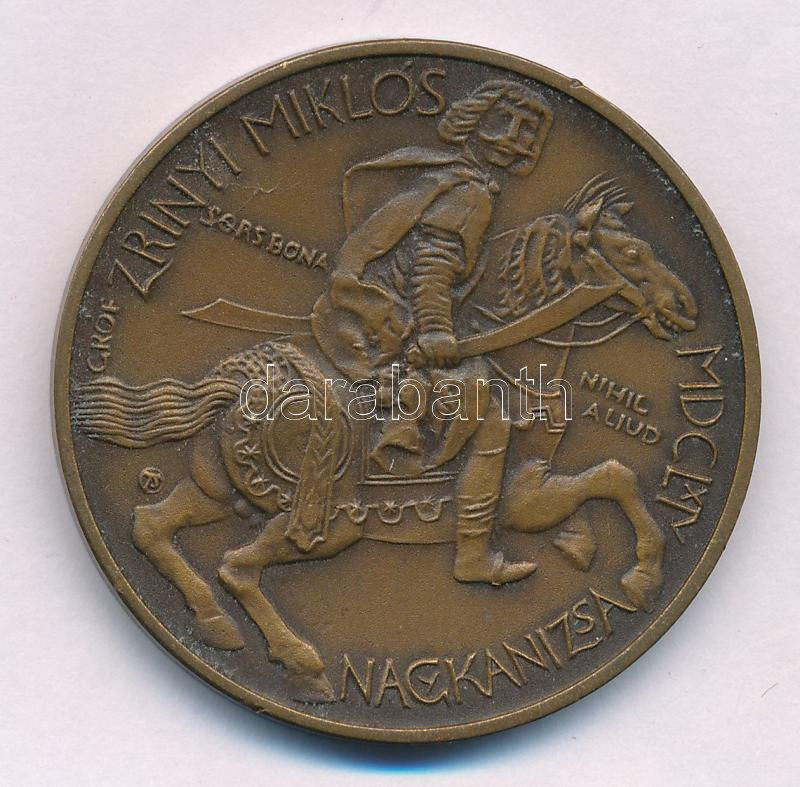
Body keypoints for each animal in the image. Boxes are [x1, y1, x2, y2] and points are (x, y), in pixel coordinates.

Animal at [73, 176, 697, 702]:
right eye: (633, 254)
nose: (687, 307)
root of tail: (239, 383)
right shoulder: (521, 502)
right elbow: (613, 477)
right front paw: (641, 575)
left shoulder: (540, 484)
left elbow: (605, 481)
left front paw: (584, 544)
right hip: (327, 522)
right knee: (236, 568)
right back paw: (303, 663)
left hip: (220, 493)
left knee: (151, 526)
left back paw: (215, 624)